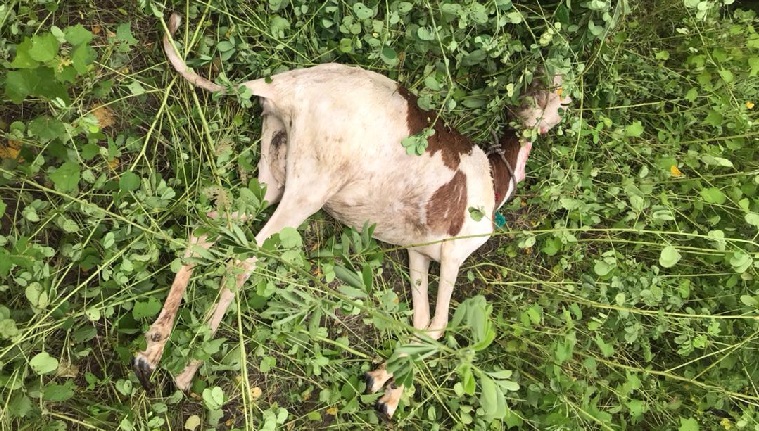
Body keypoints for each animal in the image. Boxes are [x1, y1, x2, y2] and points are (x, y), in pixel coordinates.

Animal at [135, 13, 568, 418]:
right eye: (551, 90)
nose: (558, 98)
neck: (496, 176)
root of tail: (283, 85)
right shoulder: (452, 255)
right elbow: (438, 326)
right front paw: (385, 387)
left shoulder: (418, 254)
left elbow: (419, 323)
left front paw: (386, 390)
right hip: (309, 188)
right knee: (243, 260)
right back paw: (186, 369)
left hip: (272, 174)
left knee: (206, 228)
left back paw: (151, 352)